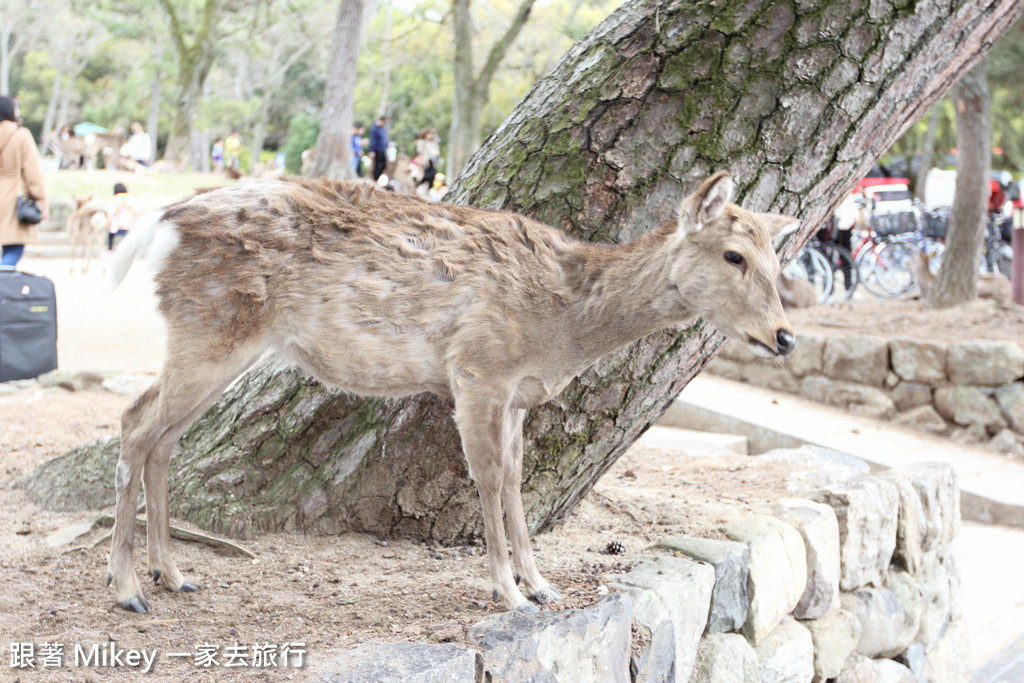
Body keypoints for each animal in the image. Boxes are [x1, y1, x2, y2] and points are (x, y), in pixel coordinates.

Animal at [105, 171, 798, 614]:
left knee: (161, 436)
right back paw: (127, 587)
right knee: (135, 423)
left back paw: (174, 574)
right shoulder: (477, 370)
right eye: (735, 255)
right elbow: (486, 479)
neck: (564, 329)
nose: (785, 336)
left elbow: (517, 479)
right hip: (210, 329)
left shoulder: (518, 394)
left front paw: (542, 584)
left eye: (778, 260)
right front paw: (507, 591)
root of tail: (159, 222)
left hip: (218, 342)